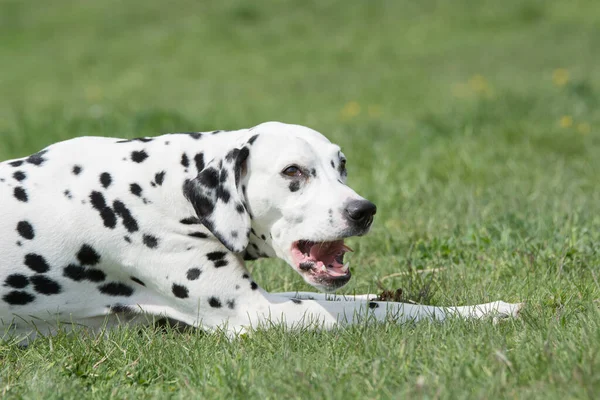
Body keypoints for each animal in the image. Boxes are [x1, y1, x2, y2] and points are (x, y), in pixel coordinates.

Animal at [0, 122, 520, 340]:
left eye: (341, 165)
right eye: (294, 171)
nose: (364, 210)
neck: (163, 185)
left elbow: (378, 300)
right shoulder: (261, 314)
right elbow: (392, 312)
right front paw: (485, 312)